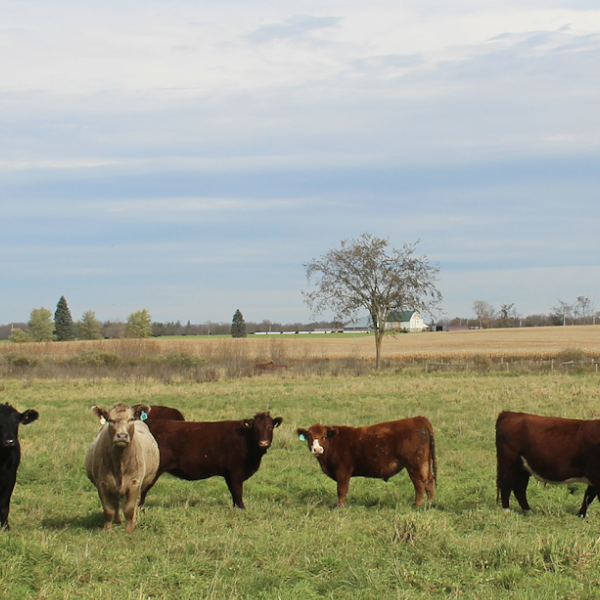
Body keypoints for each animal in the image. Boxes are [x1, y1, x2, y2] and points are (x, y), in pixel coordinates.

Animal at [85, 400, 159, 532]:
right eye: (110, 420)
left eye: (130, 419)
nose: (122, 436)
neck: (120, 462)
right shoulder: (102, 484)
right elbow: (108, 510)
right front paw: (107, 530)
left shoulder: (135, 482)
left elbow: (129, 508)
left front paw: (129, 530)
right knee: (115, 504)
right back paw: (117, 521)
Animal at [142, 410, 282, 508]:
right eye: (256, 429)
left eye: (270, 427)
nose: (263, 443)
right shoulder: (236, 472)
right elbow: (237, 491)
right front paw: (242, 508)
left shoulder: (229, 474)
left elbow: (233, 492)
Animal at [296, 420, 436, 508]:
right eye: (309, 437)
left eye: (324, 436)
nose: (317, 449)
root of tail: (419, 419)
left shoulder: (343, 471)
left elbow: (341, 490)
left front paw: (340, 507)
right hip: (424, 463)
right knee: (428, 480)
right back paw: (430, 502)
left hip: (413, 465)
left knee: (419, 483)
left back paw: (417, 504)